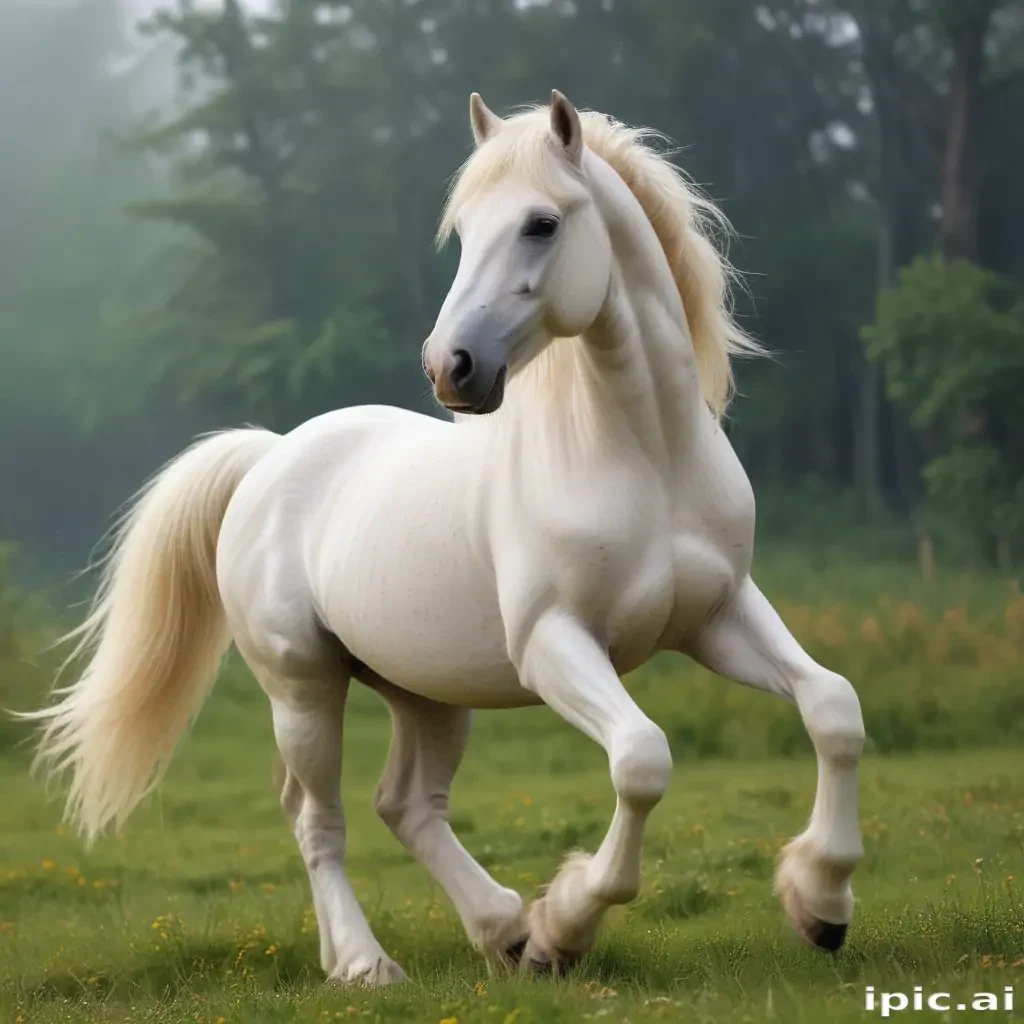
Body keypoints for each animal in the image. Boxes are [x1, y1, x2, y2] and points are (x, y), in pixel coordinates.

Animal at [24, 91, 865, 985]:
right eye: (461, 232)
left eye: (540, 223)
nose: (450, 366)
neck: (644, 459)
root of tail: (269, 457)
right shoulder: (554, 643)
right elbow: (641, 759)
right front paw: (568, 923)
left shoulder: (721, 617)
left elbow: (834, 708)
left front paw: (821, 904)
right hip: (304, 687)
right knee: (318, 817)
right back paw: (371, 964)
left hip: (424, 691)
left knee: (406, 805)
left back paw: (498, 931)